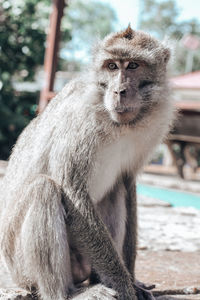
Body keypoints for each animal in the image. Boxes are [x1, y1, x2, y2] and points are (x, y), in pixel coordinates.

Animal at [0, 26, 174, 300]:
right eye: (112, 66)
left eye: (133, 65)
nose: (119, 91)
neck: (119, 125)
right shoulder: (80, 122)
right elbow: (72, 190)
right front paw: (123, 285)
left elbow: (127, 184)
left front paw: (132, 280)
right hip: (20, 266)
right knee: (43, 188)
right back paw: (67, 293)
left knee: (115, 190)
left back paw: (95, 279)